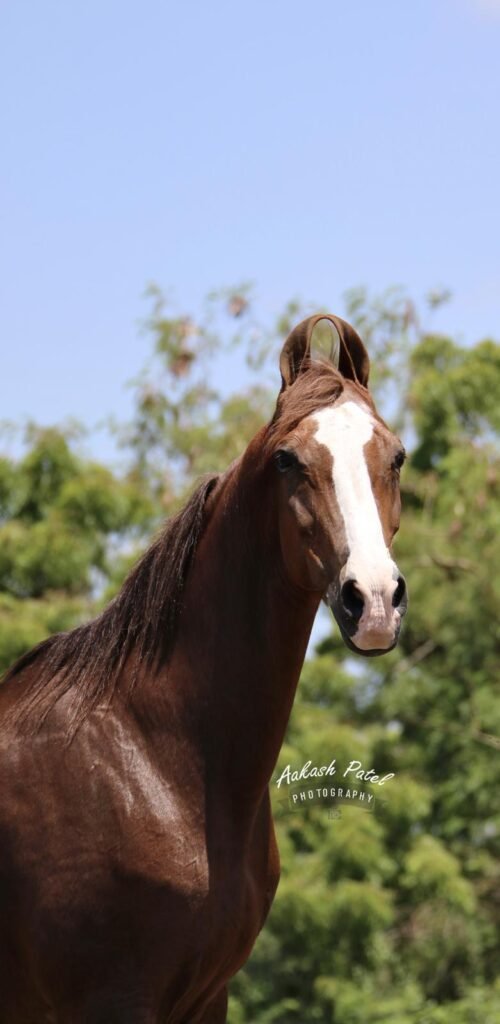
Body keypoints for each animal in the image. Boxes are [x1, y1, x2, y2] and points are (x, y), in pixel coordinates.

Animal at [0, 313, 407, 1023]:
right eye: (287, 459)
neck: (154, 757)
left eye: (397, 457)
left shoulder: (207, 997)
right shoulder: (116, 999)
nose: (375, 601)